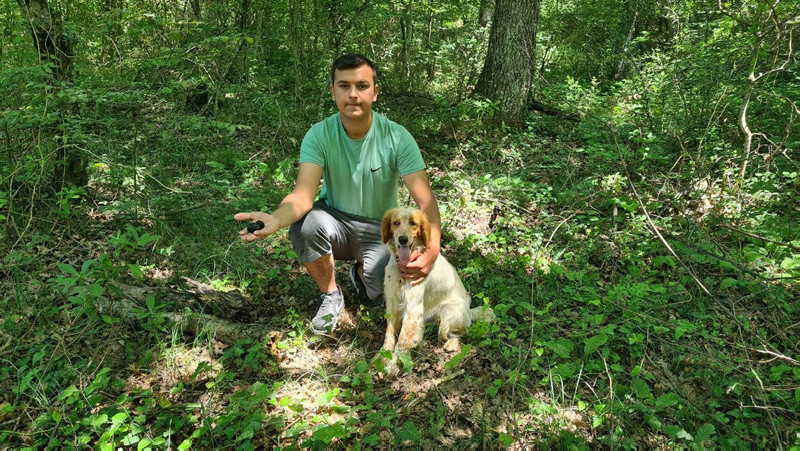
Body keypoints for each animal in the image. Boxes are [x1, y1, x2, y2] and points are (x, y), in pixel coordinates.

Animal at [379, 207, 494, 374]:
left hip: (447, 311)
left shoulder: (413, 308)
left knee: (460, 332)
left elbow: (402, 341)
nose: (403, 239)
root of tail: (469, 311)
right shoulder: (393, 301)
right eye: (396, 223)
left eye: (413, 223)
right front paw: (382, 356)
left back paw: (451, 344)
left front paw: (394, 365)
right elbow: (389, 333)